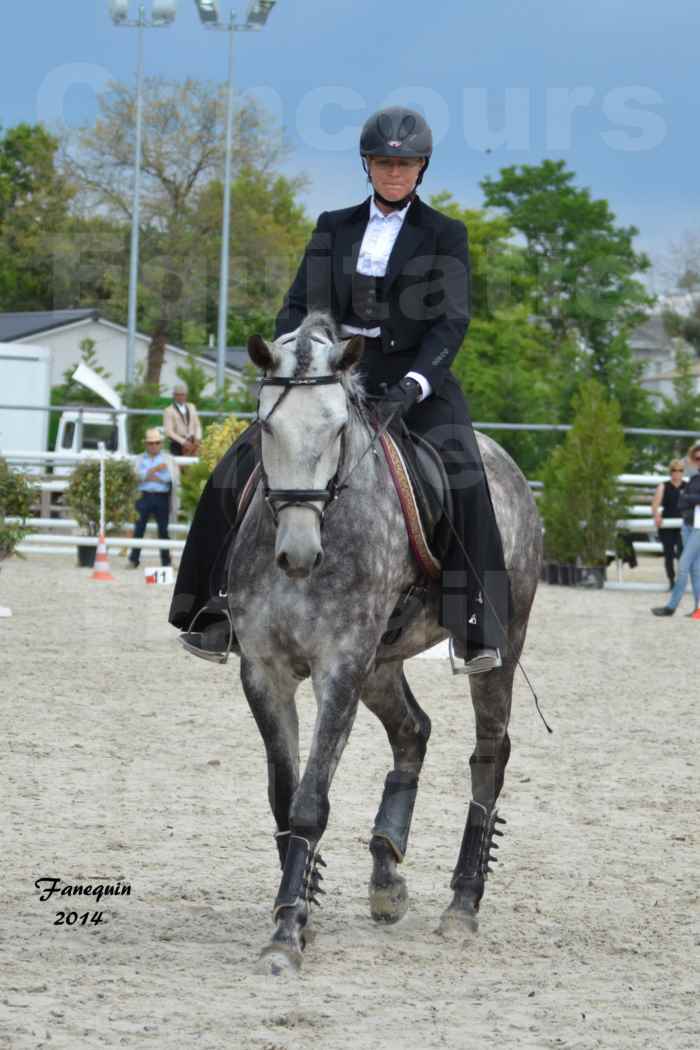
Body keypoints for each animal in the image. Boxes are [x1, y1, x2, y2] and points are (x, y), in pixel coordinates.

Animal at [227, 310, 545, 974]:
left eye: (337, 430)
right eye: (266, 427)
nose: (299, 554)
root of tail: (504, 460)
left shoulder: (340, 668)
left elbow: (310, 802)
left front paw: (286, 935)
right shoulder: (266, 672)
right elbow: (283, 797)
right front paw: (300, 907)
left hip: (498, 649)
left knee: (489, 756)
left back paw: (463, 904)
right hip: (382, 664)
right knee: (412, 733)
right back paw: (385, 875)